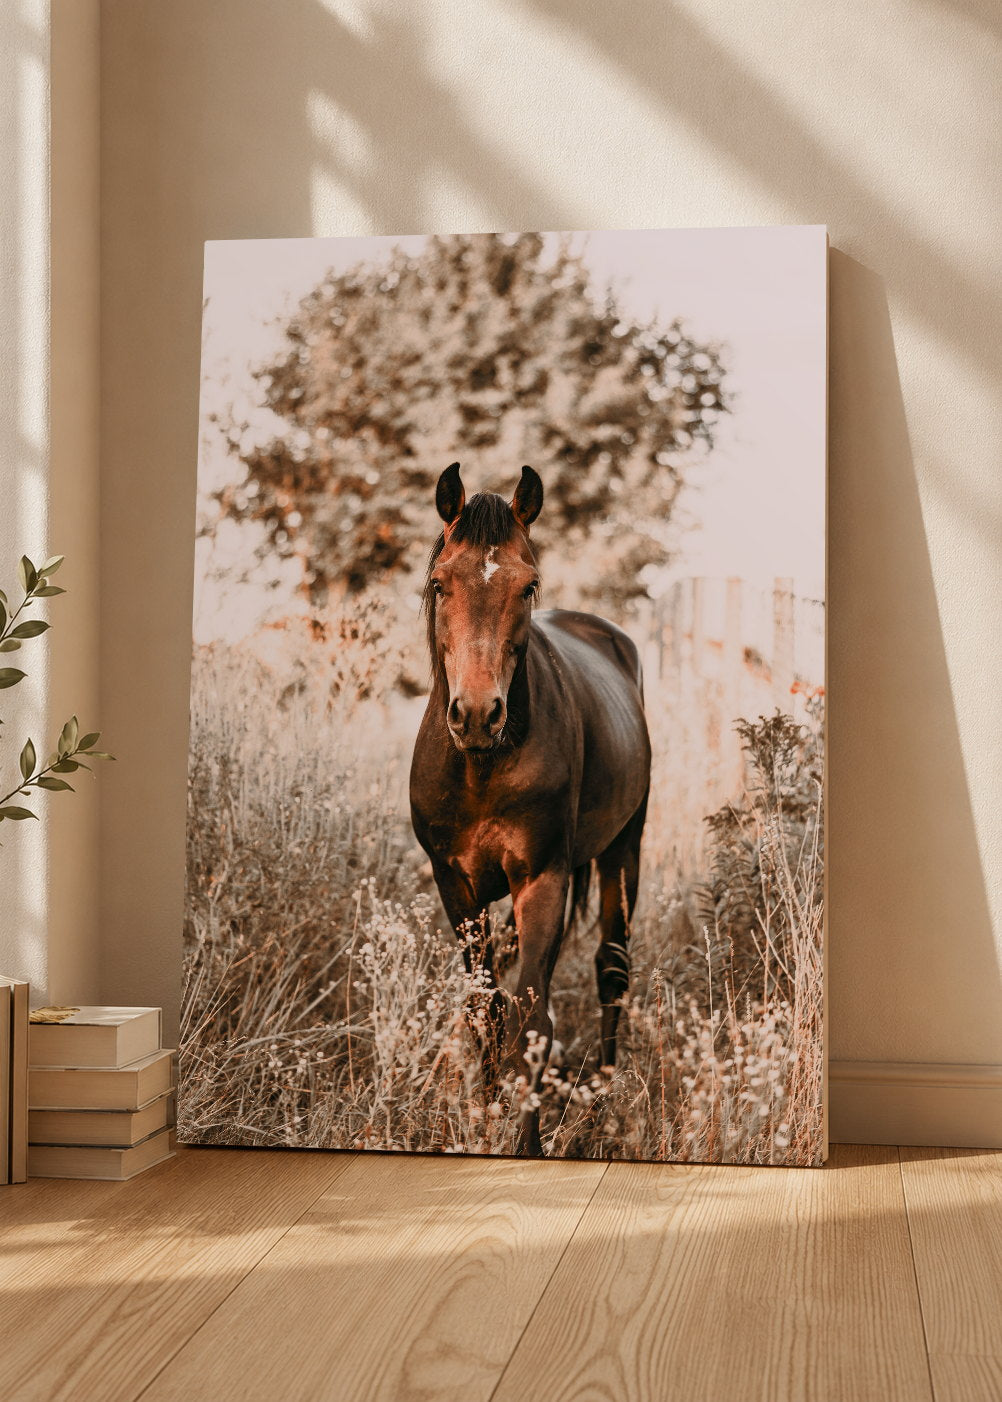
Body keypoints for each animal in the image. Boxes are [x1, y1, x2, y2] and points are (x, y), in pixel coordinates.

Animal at [409, 462, 652, 1155]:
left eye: (528, 585)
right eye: (440, 582)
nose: (477, 714)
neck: (481, 768)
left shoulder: (543, 879)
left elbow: (532, 1016)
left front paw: (528, 1142)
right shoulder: (455, 886)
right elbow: (485, 1005)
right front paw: (488, 1112)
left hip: (623, 851)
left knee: (611, 970)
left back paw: (601, 1102)